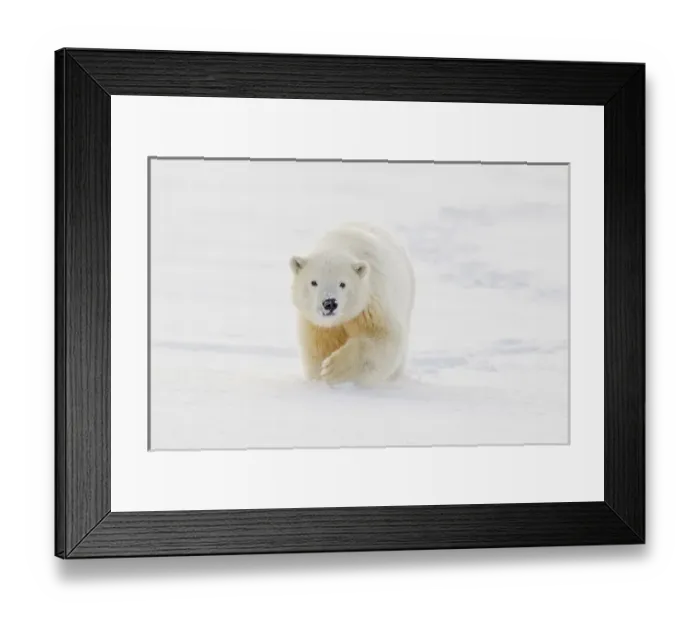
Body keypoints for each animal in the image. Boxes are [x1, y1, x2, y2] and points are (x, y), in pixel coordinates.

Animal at [289, 223, 415, 385]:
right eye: (313, 282)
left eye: (342, 283)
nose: (329, 303)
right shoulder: (316, 325)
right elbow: (319, 348)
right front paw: (321, 377)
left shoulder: (370, 304)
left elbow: (384, 337)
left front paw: (332, 369)